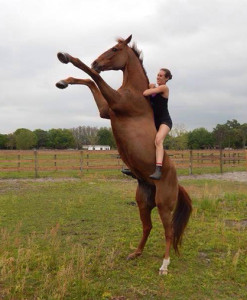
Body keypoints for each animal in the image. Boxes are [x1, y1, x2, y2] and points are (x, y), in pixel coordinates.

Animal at [56, 34, 193, 274]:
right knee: (147, 226)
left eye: (115, 49)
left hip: (164, 205)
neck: (136, 91)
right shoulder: (106, 110)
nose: (96, 62)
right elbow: (91, 81)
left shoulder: (116, 102)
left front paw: (67, 57)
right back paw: (136, 253)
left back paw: (164, 266)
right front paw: (63, 81)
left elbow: (93, 77)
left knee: (168, 232)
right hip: (143, 201)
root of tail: (176, 182)